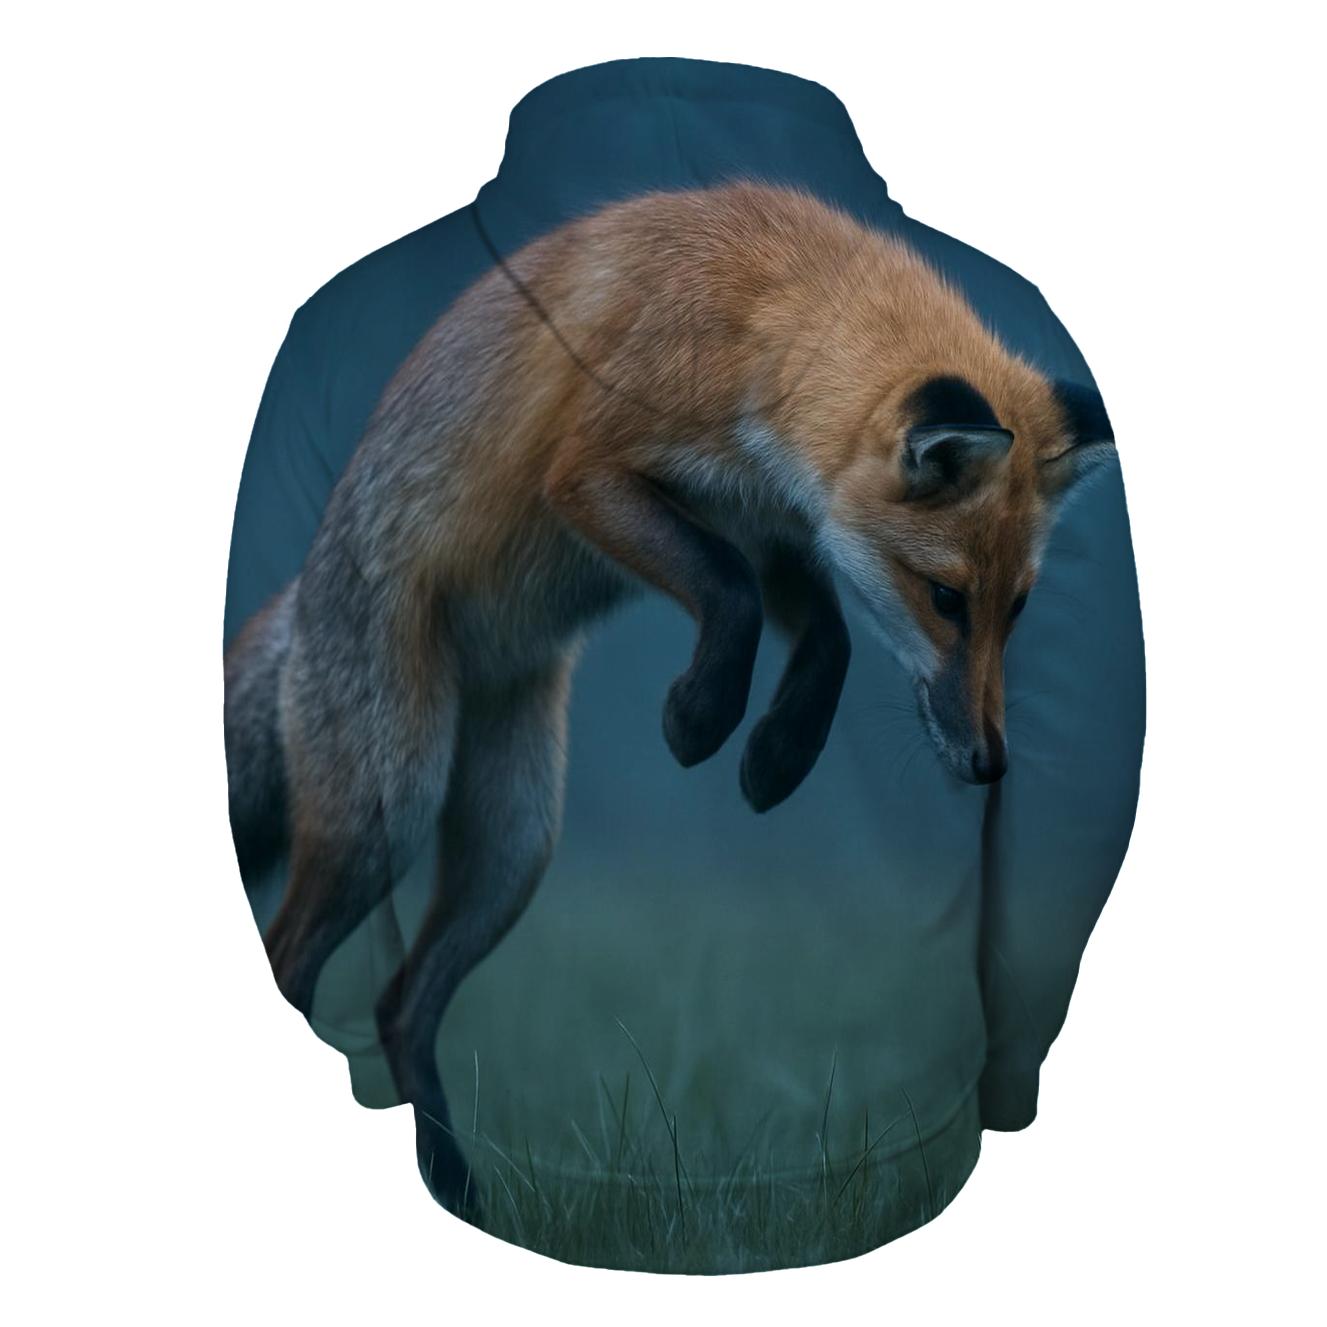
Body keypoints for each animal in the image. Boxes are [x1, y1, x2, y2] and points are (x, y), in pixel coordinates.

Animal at [224, 182, 1114, 1210]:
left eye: (1017, 609)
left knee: (398, 1006)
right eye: (946, 599)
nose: (990, 763)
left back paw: (457, 1185)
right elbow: (725, 590)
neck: (765, 323)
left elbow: (830, 640)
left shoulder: (770, 519)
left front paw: (776, 756)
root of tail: (303, 587)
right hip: (390, 805)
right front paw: (699, 720)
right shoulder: (594, 472)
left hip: (512, 847)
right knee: (291, 961)